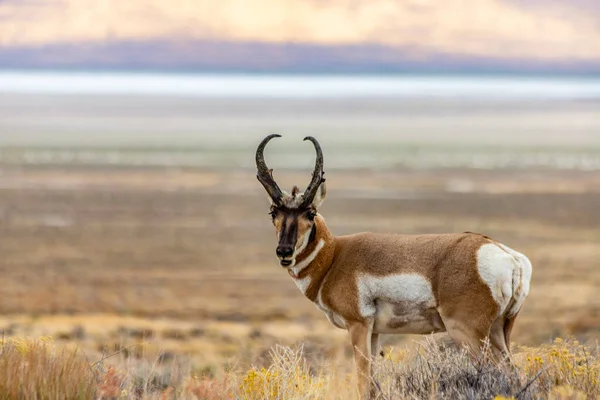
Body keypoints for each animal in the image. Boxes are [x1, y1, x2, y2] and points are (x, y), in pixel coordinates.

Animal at [253, 134, 528, 396]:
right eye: (273, 212)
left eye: (310, 213)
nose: (284, 252)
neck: (334, 257)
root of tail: (507, 256)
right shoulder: (374, 333)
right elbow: (373, 385)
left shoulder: (358, 326)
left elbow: (363, 383)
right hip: (498, 332)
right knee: (513, 375)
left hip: (467, 333)